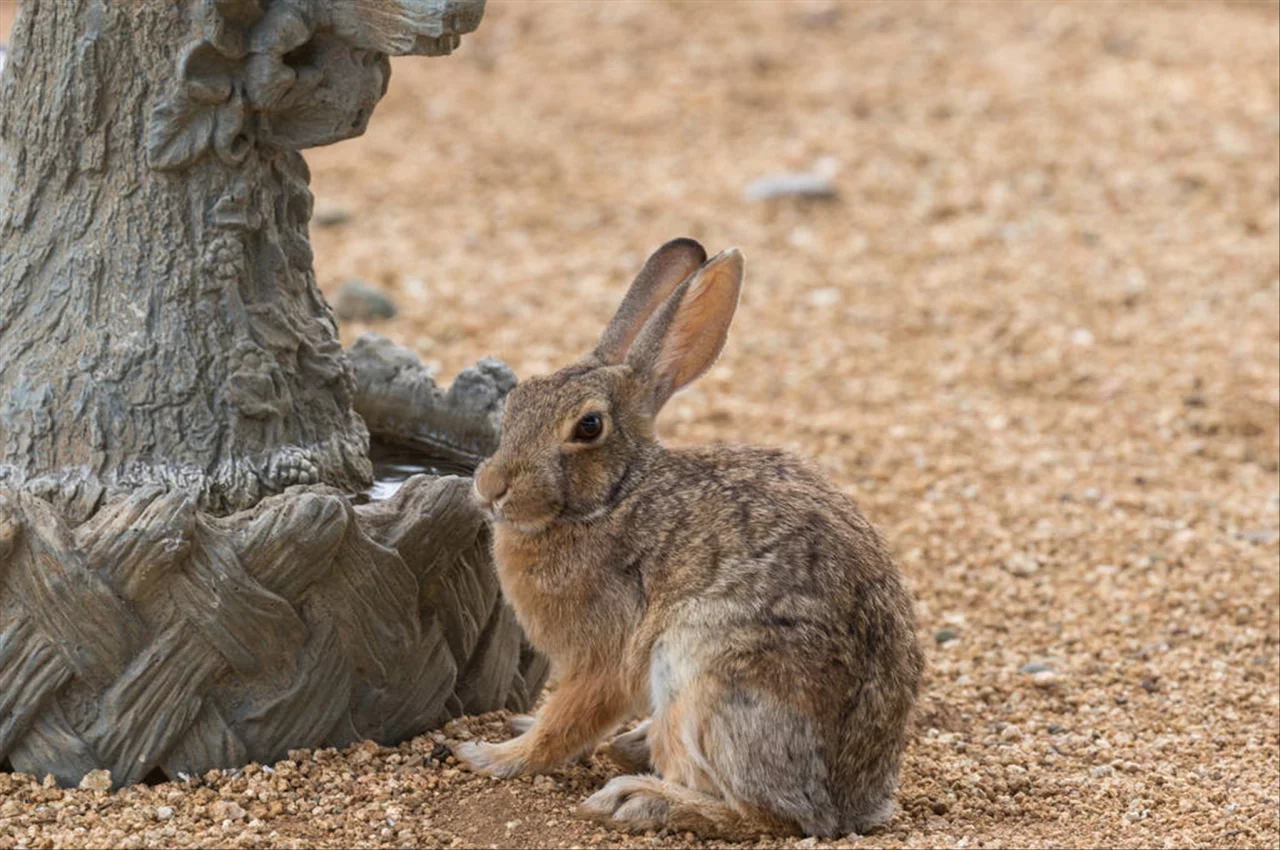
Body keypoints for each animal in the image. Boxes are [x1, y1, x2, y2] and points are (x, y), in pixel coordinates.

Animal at [458, 236, 921, 834]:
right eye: (516, 402)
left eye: (588, 427)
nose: (491, 488)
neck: (614, 497)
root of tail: (855, 803)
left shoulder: (604, 654)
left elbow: (567, 719)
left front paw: (492, 756)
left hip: (703, 682)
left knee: (773, 816)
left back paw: (639, 798)